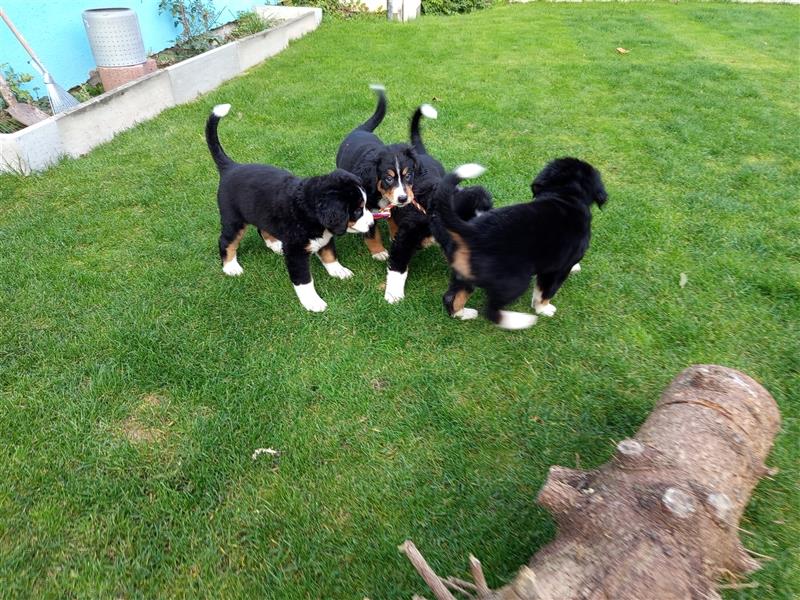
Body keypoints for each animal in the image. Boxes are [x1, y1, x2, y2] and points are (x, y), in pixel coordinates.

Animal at [203, 102, 372, 312]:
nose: (372, 224)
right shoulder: (295, 252)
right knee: (226, 241)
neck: (308, 210)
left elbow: (329, 254)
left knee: (262, 229)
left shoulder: (325, 237)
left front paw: (339, 271)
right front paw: (313, 302)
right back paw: (230, 267)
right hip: (233, 220)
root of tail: (231, 167)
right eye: (357, 211)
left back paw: (275, 245)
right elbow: (304, 281)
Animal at [334, 84, 418, 262]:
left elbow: (393, 219)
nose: (403, 198)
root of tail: (360, 130)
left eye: (408, 175)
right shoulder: (365, 208)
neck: (380, 193)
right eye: (388, 178)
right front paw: (378, 251)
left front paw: (395, 236)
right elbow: (372, 233)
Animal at [432, 157, 608, 330]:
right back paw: (520, 321)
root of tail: (472, 230)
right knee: (491, 310)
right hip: (516, 280)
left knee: (451, 297)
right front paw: (544, 309)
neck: (566, 196)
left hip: (462, 273)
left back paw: (463, 313)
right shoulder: (558, 270)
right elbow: (546, 291)